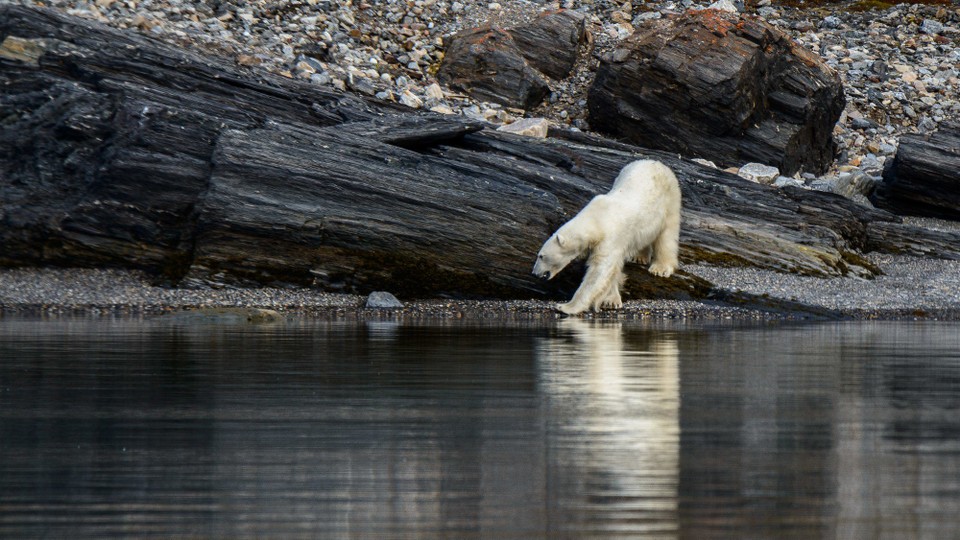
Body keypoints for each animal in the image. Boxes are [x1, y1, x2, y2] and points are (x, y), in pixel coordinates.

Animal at [532, 158, 684, 314]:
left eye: (541, 256)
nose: (534, 273)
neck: (596, 220)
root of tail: (655, 162)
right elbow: (612, 271)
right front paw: (611, 301)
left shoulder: (611, 238)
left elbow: (599, 271)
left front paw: (566, 307)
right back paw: (639, 257)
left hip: (670, 198)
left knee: (667, 235)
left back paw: (661, 268)